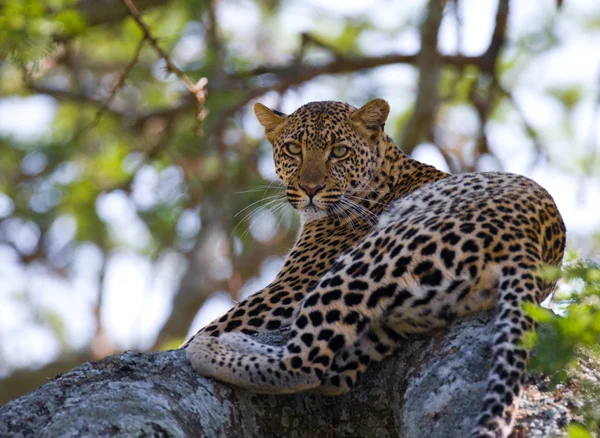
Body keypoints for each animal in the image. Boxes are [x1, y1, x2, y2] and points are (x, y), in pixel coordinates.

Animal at [182, 99, 564, 438]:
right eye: (292, 148)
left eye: (339, 151)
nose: (310, 188)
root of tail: (529, 247)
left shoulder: (290, 287)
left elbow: (225, 320)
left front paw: (194, 341)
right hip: (410, 314)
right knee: (333, 374)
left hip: (370, 258)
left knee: (304, 363)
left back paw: (208, 349)